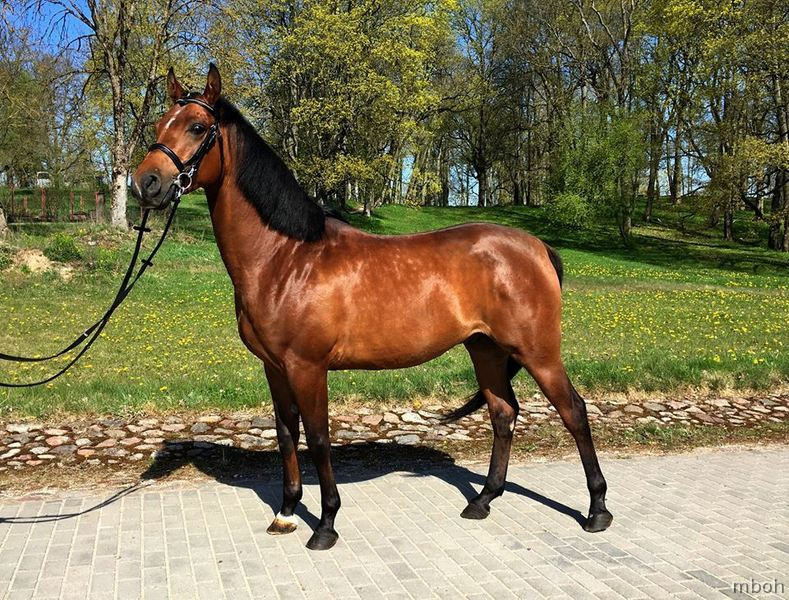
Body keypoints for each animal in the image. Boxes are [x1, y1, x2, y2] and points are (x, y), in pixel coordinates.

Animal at [132, 64, 613, 551]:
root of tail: (536, 246)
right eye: (158, 124)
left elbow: (318, 438)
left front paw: (325, 523)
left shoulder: (307, 368)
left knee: (574, 412)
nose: (146, 183)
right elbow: (286, 436)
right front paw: (286, 513)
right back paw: (482, 501)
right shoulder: (275, 368)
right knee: (503, 414)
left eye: (198, 127)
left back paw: (596, 510)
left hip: (538, 352)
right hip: (486, 349)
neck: (286, 257)